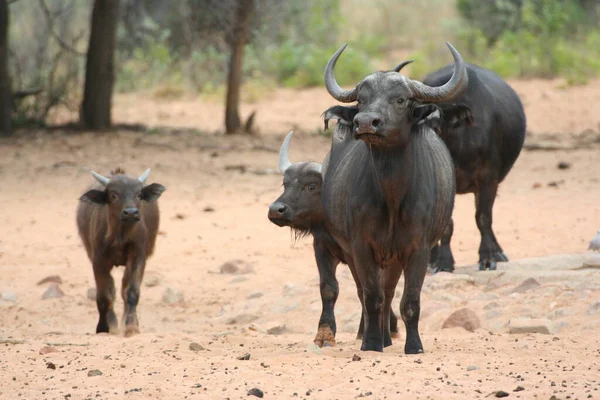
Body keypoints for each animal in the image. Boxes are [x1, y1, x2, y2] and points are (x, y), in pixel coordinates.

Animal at [78, 167, 166, 336]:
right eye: (113, 194)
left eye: (139, 194)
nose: (131, 212)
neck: (120, 236)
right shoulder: (98, 261)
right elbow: (104, 296)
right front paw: (105, 327)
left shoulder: (138, 257)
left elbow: (131, 292)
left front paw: (131, 327)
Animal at [268, 131, 398, 346]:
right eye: (285, 184)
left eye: (312, 185)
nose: (275, 210)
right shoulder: (321, 248)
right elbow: (328, 288)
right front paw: (324, 334)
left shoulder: (359, 254)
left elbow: (365, 289)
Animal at [322, 41, 466, 354]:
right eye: (361, 101)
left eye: (400, 100)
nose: (365, 123)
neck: (391, 196)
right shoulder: (360, 247)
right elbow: (371, 296)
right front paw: (371, 343)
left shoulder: (418, 249)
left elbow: (409, 301)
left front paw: (414, 345)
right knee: (367, 293)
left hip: (394, 259)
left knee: (389, 293)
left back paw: (388, 337)